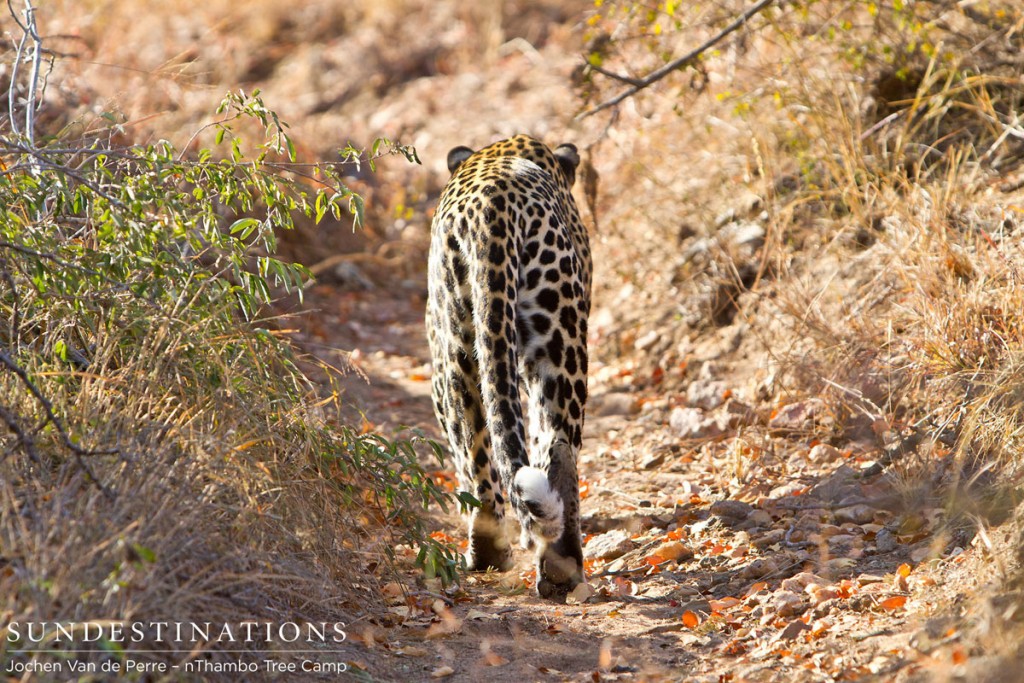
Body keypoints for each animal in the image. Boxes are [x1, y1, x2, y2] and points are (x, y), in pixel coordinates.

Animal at [425, 135, 593, 598]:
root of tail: (493, 204)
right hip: (555, 336)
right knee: (556, 445)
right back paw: (556, 564)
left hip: (465, 343)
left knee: (482, 443)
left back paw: (495, 554)